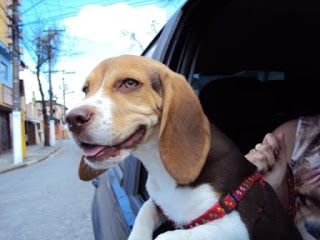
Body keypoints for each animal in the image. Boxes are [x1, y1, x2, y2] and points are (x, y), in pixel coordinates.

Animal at [66, 55, 302, 239]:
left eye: (130, 83)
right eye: (85, 90)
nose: (71, 119)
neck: (159, 167)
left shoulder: (235, 223)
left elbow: (168, 236)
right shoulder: (158, 203)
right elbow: (145, 212)